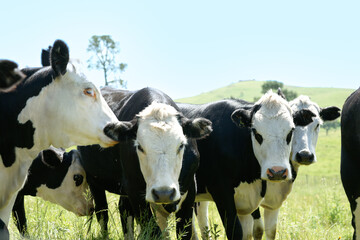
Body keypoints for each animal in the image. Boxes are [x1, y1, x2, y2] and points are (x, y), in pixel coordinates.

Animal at [194, 94, 340, 240]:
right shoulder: (223, 195)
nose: (304, 155)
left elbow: (266, 230)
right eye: (256, 132)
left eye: (290, 131)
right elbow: (246, 231)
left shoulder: (266, 202)